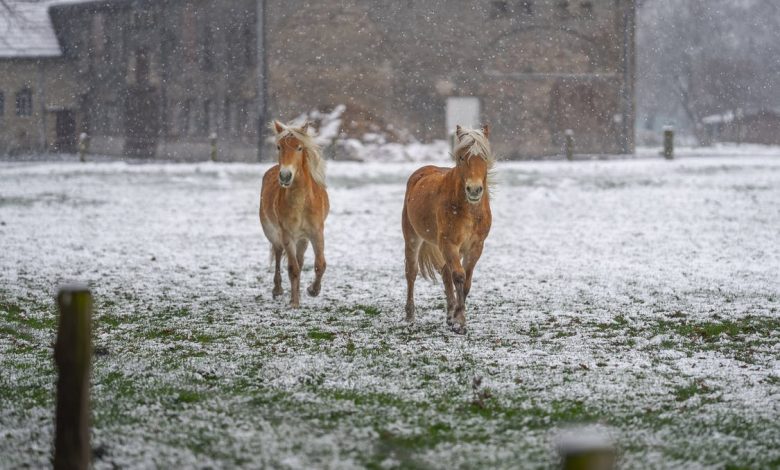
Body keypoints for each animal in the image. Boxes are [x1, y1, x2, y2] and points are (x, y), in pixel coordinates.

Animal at [258, 119, 328, 306]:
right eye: (279, 146)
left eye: (299, 147)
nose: (285, 176)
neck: (301, 202)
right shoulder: (287, 235)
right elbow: (292, 268)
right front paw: (294, 303)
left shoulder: (316, 233)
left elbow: (320, 264)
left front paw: (313, 290)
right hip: (274, 234)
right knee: (278, 255)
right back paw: (278, 290)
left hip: (302, 239)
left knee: (300, 260)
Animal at [402, 123, 494, 332]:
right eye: (461, 157)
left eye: (483, 157)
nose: (474, 190)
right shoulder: (449, 243)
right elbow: (458, 276)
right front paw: (460, 321)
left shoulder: (475, 246)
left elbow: (466, 281)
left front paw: (456, 318)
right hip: (412, 238)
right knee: (411, 273)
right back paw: (410, 316)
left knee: (445, 273)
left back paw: (449, 315)